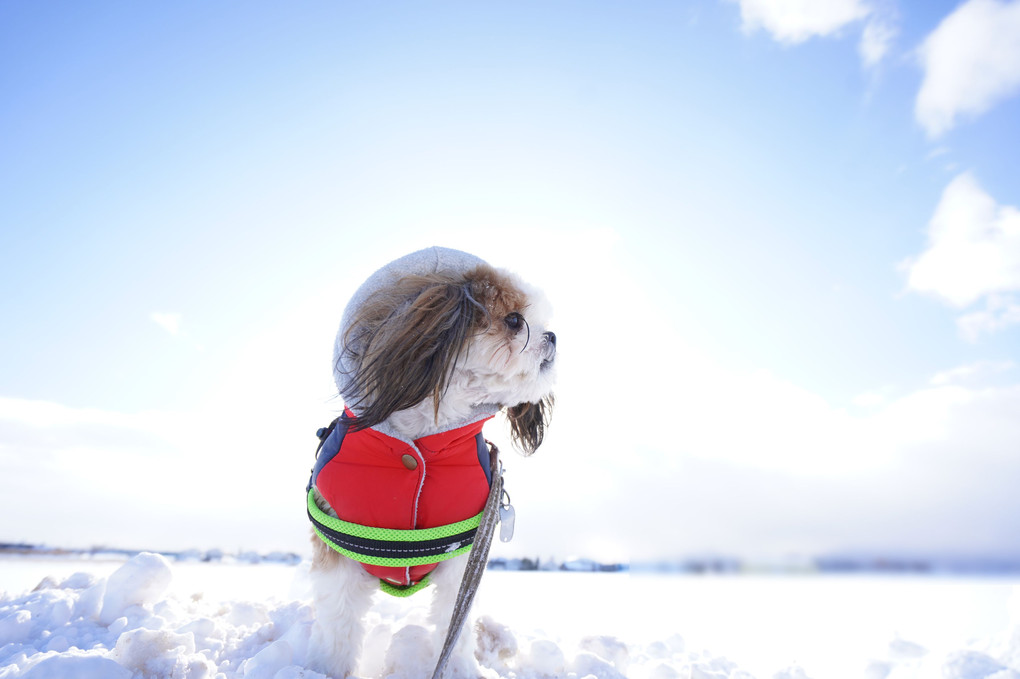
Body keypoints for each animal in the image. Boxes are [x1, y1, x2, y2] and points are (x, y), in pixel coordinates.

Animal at [303, 247, 558, 676]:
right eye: (513, 320)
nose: (553, 337)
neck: (419, 447)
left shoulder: (461, 560)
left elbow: (453, 624)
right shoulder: (338, 554)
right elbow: (339, 628)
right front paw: (327, 669)